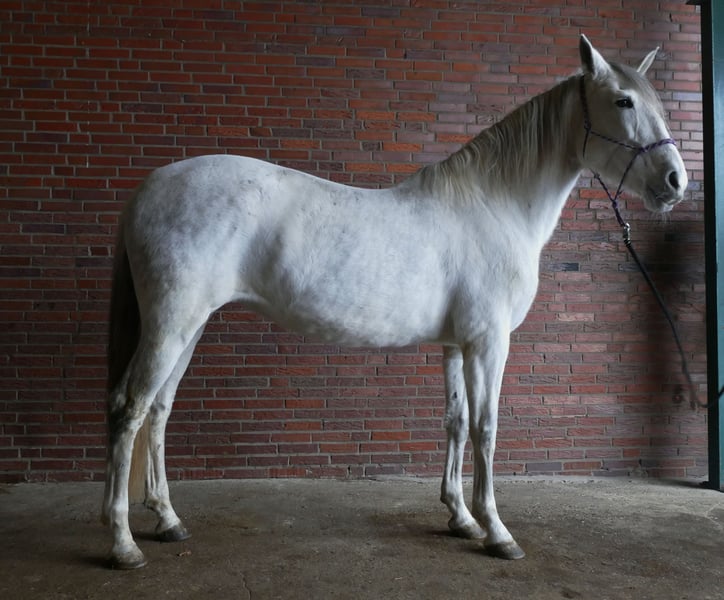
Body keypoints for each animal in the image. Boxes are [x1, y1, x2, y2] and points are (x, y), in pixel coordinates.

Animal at [101, 35, 687, 569]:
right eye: (623, 101)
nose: (676, 181)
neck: (495, 205)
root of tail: (146, 190)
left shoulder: (455, 344)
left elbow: (455, 422)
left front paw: (461, 517)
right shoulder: (488, 343)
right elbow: (487, 428)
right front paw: (497, 531)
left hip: (190, 327)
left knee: (159, 410)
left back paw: (169, 521)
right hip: (171, 323)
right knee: (130, 409)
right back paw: (123, 543)